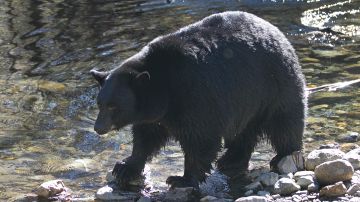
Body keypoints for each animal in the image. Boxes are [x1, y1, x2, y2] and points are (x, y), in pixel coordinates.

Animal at [90, 11, 306, 189]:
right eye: (100, 104)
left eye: (113, 106)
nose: (98, 128)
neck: (164, 86)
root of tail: (277, 32)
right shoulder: (154, 114)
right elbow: (146, 137)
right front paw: (125, 167)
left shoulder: (196, 94)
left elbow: (201, 138)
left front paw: (182, 179)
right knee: (245, 130)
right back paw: (231, 159)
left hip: (274, 84)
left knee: (284, 121)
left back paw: (283, 156)